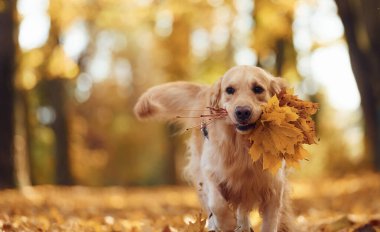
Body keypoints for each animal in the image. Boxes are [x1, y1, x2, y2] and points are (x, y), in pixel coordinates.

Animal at [134, 65, 294, 232]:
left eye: (258, 89)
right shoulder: (210, 171)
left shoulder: (274, 188)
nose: (242, 112)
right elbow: (217, 204)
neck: (242, 147)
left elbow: (270, 222)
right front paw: (226, 223)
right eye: (229, 90)